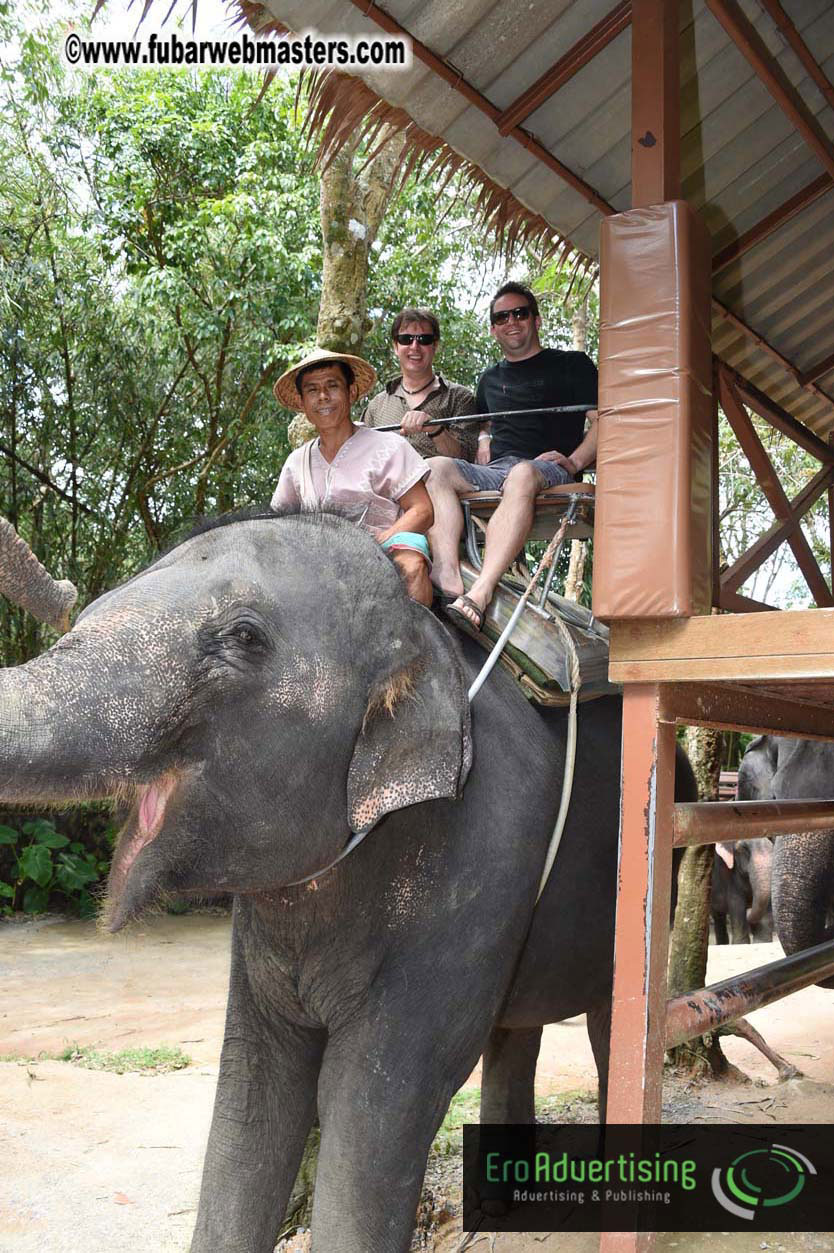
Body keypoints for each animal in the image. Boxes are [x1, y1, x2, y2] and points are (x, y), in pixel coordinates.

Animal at [0, 508, 697, 1252]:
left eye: (243, 637)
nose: (66, 593)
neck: (421, 635)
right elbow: (254, 1083)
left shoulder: (482, 859)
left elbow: (375, 1097)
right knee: (517, 1029)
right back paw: (495, 1209)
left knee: (611, 1022)